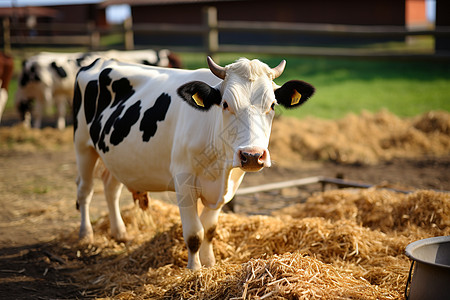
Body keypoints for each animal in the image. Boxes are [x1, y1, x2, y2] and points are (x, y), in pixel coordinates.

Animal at [15, 49, 181, 129]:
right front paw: (59, 126)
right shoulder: (58, 93)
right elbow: (60, 110)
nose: (23, 126)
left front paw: (36, 127)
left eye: (22, 112)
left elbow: (38, 112)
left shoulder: (44, 91)